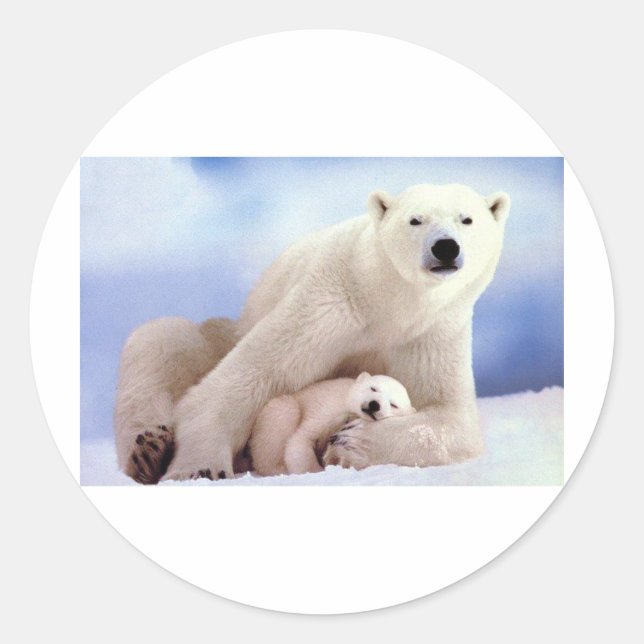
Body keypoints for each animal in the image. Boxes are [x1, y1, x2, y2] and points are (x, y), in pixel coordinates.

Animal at [250, 372, 415, 476]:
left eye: (394, 405)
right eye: (373, 388)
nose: (374, 405)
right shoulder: (327, 409)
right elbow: (301, 439)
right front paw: (313, 470)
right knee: (285, 411)